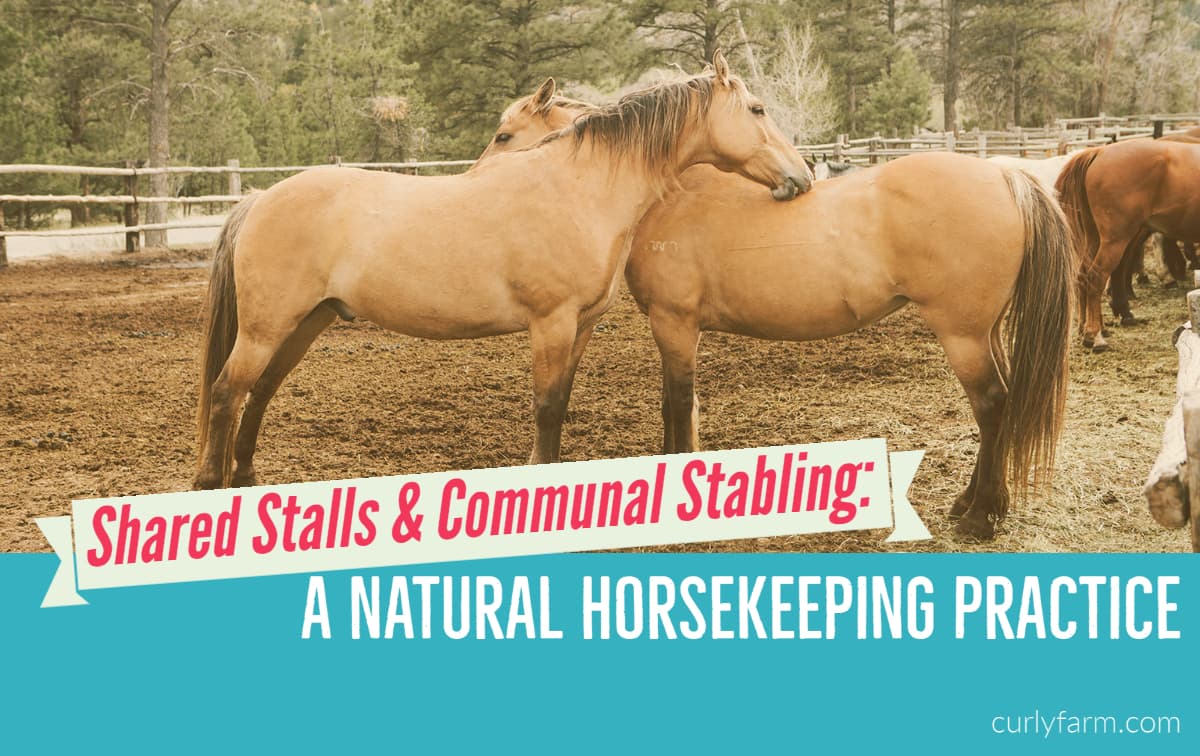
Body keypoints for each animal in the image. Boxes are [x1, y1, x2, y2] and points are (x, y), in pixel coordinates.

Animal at [193, 52, 812, 489]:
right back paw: (209, 485)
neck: (579, 187)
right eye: (757, 110)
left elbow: (559, 402)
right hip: (267, 328)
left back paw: (246, 480)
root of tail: (260, 198)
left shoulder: (580, 326)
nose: (801, 176)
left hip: (304, 323)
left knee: (259, 392)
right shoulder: (551, 323)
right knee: (226, 392)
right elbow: (547, 408)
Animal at [1056, 138, 1200, 351]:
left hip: (1095, 239)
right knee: (1096, 277)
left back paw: (1089, 328)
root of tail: (1100, 152)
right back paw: (1094, 336)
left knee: (1083, 276)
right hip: (1115, 239)